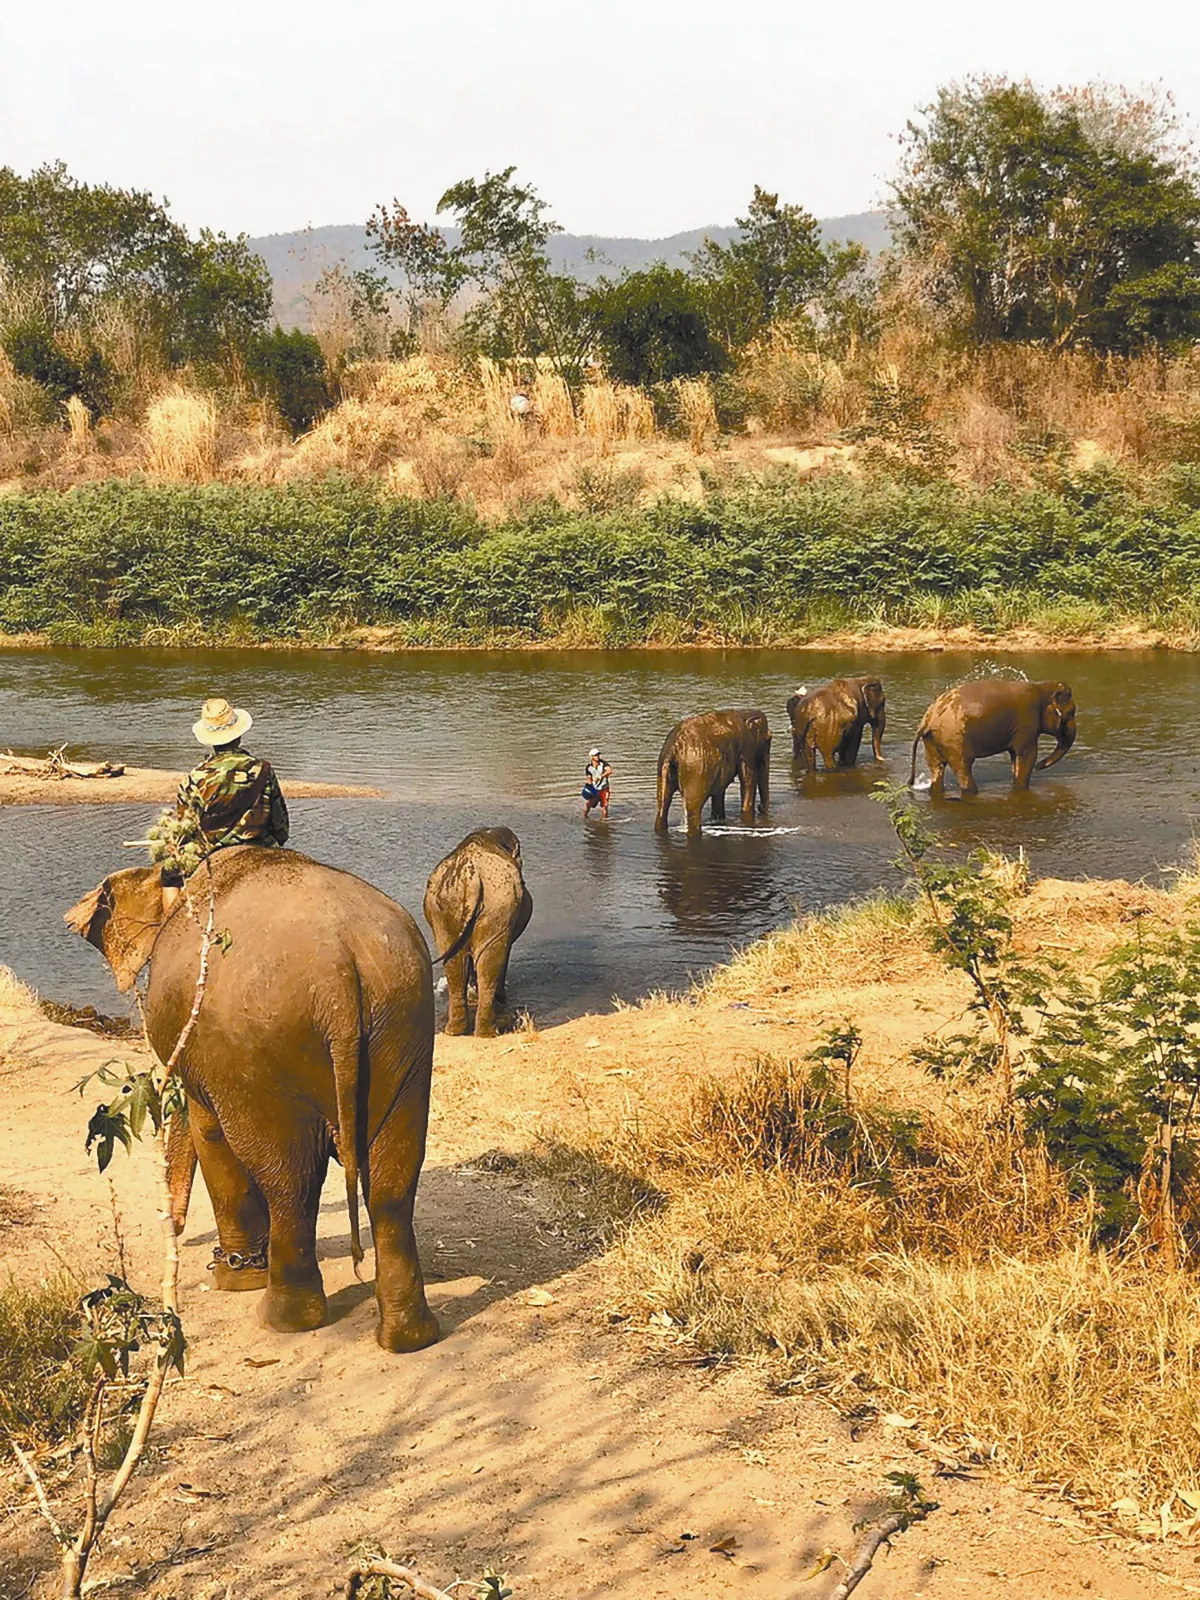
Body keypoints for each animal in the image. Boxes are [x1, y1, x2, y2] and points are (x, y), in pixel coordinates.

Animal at [64, 846, 440, 1353]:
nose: (175, 1229)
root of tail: (339, 978)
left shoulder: (207, 1054)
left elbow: (207, 1132)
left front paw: (232, 1279)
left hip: (259, 1052)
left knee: (290, 1181)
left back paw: (279, 1317)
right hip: (403, 1027)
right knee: (390, 1183)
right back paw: (408, 1338)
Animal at [424, 827, 533, 1038]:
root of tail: (470, 878)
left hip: (444, 909)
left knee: (454, 964)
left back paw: (454, 1031)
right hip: (499, 907)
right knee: (491, 962)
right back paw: (488, 1032)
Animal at [654, 709, 772, 837]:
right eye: (769, 739)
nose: (760, 807)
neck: (744, 713)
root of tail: (673, 748)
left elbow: (720, 790)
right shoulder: (746, 749)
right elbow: (747, 781)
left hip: (663, 767)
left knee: (662, 804)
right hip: (696, 771)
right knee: (693, 808)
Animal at [909, 678, 1077, 797]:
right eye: (1071, 712)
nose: (1040, 766)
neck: (1042, 688)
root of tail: (928, 718)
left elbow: (1015, 756)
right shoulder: (1027, 723)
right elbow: (1027, 755)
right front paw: (1022, 786)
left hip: (932, 740)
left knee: (936, 767)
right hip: (953, 738)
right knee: (963, 766)